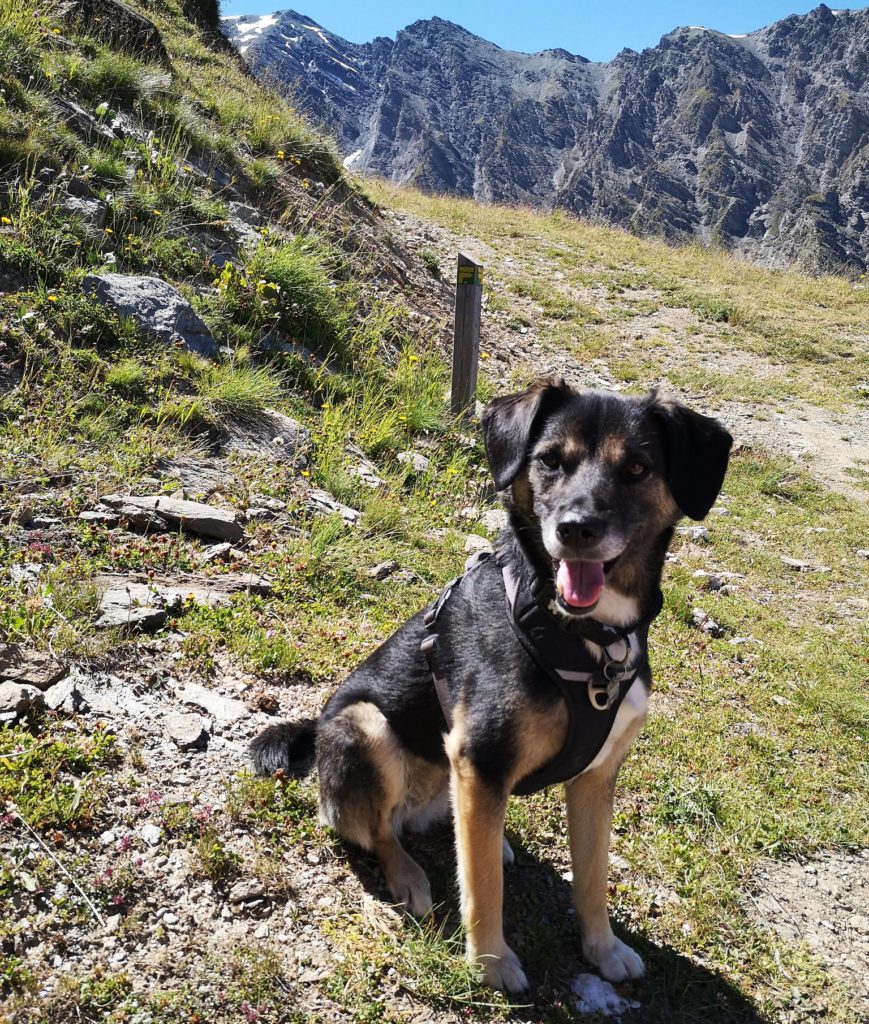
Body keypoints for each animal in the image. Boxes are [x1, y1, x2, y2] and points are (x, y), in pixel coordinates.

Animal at [252, 376, 732, 991]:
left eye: (637, 469)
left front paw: (602, 949)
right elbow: (483, 889)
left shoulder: (596, 777)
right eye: (550, 460)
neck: (579, 632)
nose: (575, 530)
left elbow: (593, 877)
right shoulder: (479, 757)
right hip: (366, 725)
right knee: (380, 831)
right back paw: (408, 875)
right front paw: (490, 962)